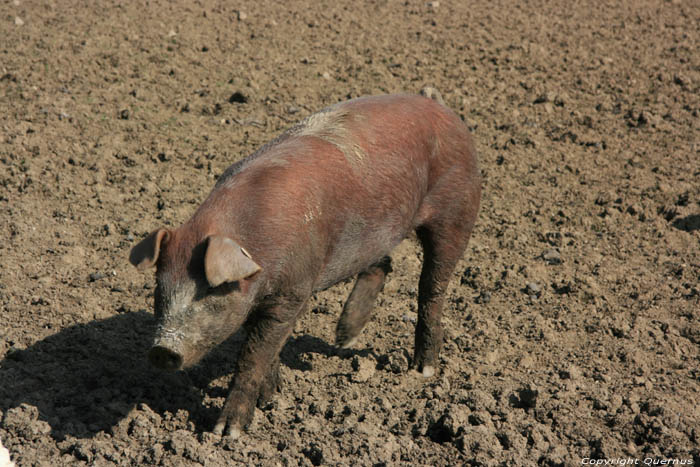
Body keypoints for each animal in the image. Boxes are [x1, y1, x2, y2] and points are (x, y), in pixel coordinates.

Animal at [129, 88, 482, 438]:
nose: (162, 349)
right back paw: (344, 339)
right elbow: (267, 348)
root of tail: (442, 108)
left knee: (432, 288)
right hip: (374, 229)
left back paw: (423, 370)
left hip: (456, 212)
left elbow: (253, 356)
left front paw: (227, 432)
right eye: (160, 291)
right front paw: (272, 397)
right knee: (382, 263)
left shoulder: (295, 291)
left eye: (209, 293)